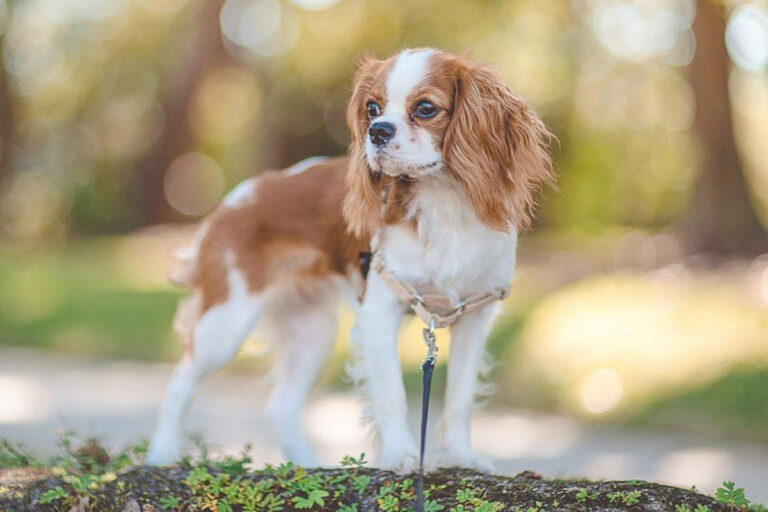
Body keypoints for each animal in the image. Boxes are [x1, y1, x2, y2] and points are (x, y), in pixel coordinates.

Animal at [147, 47, 556, 472]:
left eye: (426, 108)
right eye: (372, 108)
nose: (377, 131)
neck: (443, 204)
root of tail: (234, 199)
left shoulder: (474, 315)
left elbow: (460, 398)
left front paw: (461, 457)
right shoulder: (380, 309)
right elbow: (392, 395)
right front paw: (400, 455)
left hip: (313, 332)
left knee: (281, 407)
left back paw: (308, 466)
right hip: (226, 324)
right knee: (180, 380)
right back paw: (162, 453)